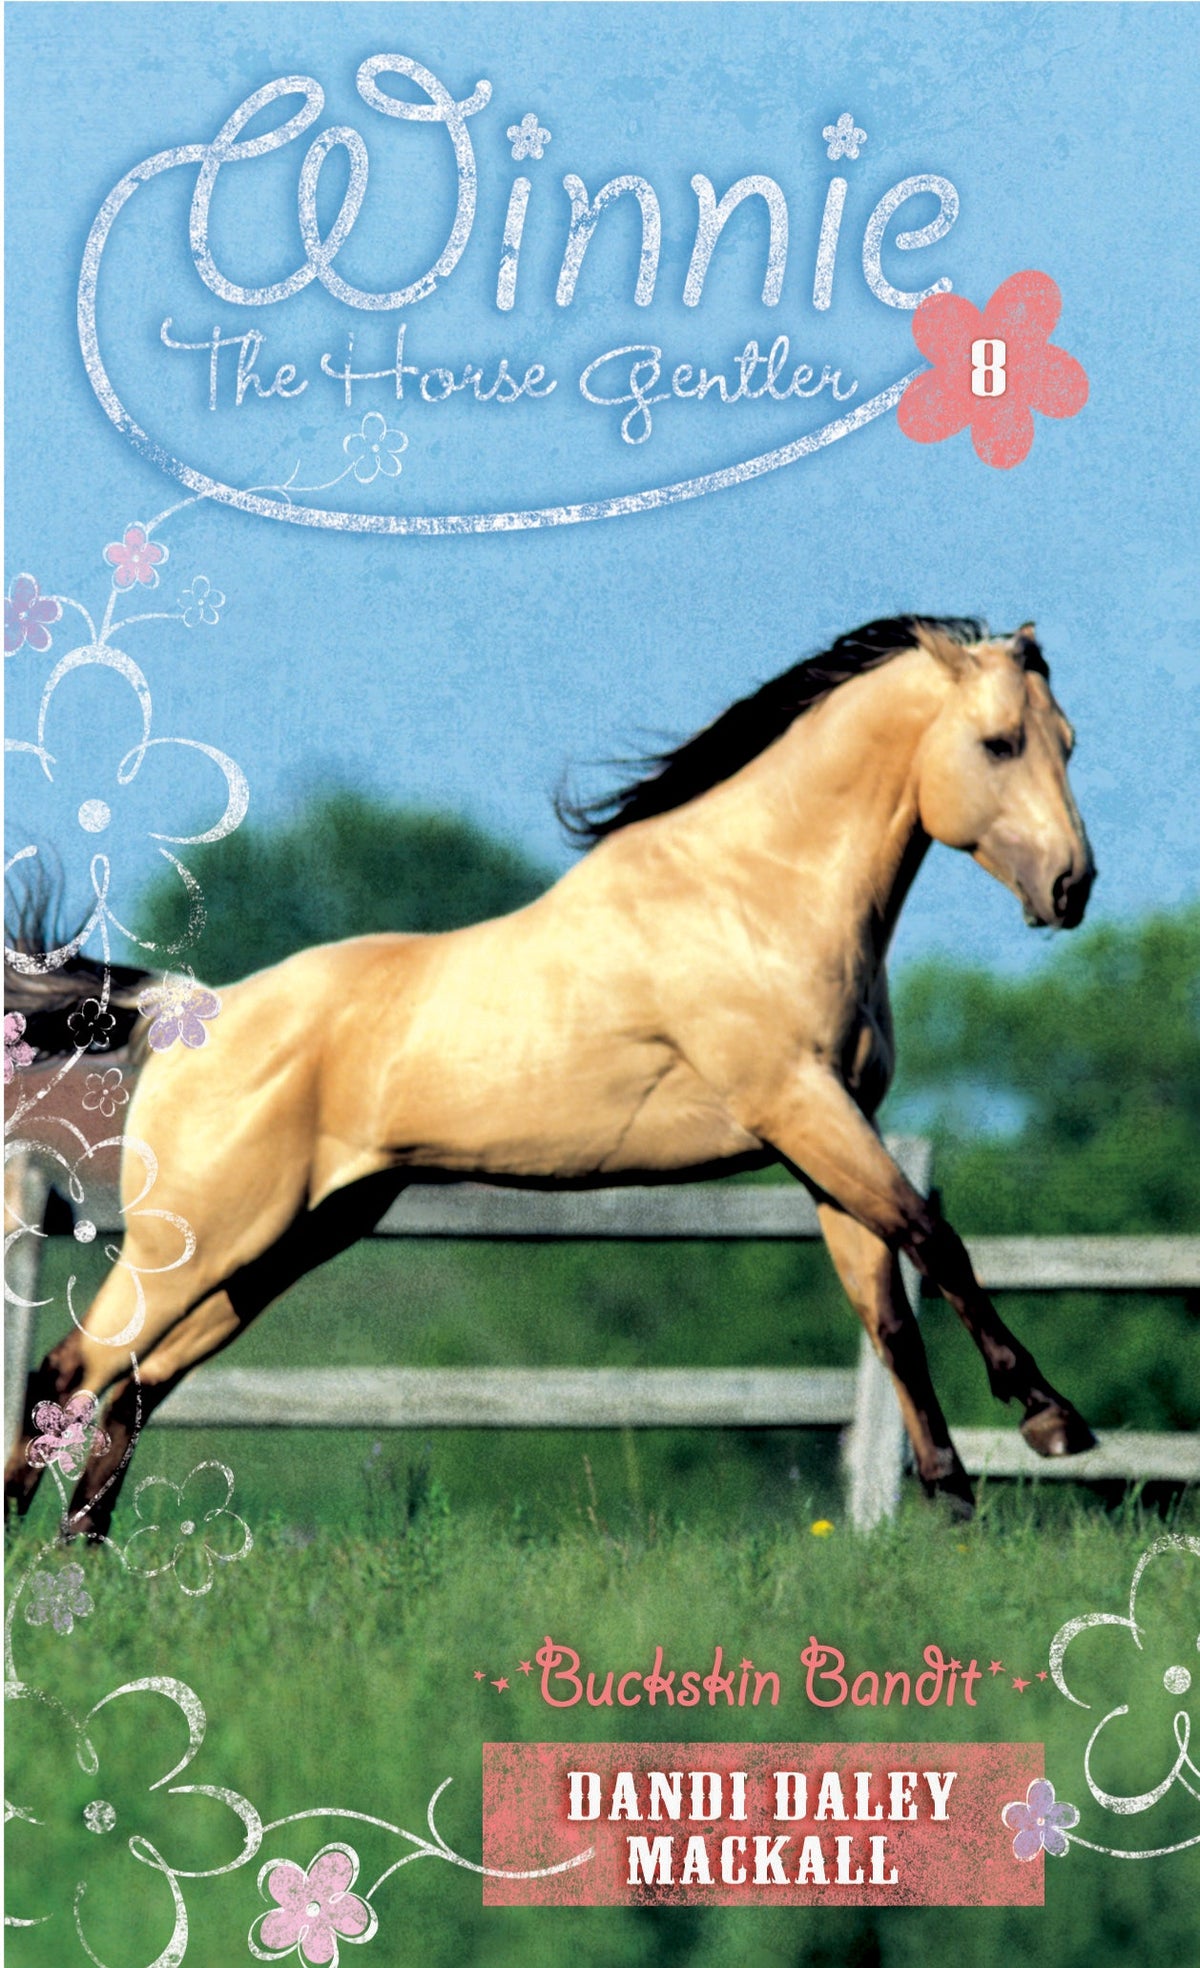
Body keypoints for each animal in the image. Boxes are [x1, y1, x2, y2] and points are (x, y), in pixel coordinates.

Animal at [4, 614, 1098, 1535]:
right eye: (1000, 742)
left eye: (1068, 741)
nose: (1071, 887)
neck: (752, 896)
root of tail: (189, 1009)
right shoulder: (801, 1108)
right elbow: (936, 1240)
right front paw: (1053, 1422)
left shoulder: (828, 1142)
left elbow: (890, 1313)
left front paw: (955, 1499)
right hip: (202, 1239)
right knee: (73, 1367)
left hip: (286, 1242)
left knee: (138, 1380)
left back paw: (81, 1554)